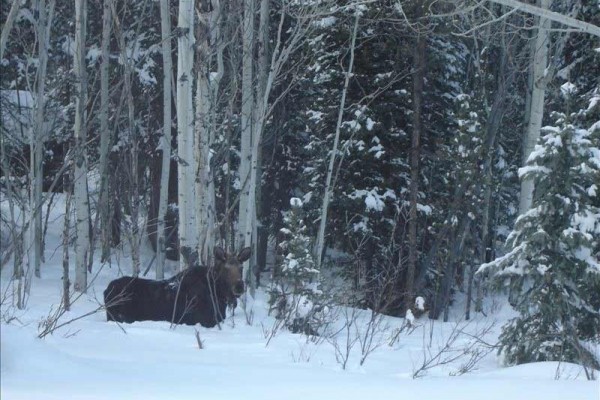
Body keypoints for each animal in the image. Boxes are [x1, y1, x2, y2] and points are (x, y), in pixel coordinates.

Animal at [104, 247, 250, 328]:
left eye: (241, 268)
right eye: (226, 269)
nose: (239, 286)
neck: (218, 294)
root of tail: (106, 290)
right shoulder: (203, 322)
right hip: (120, 317)